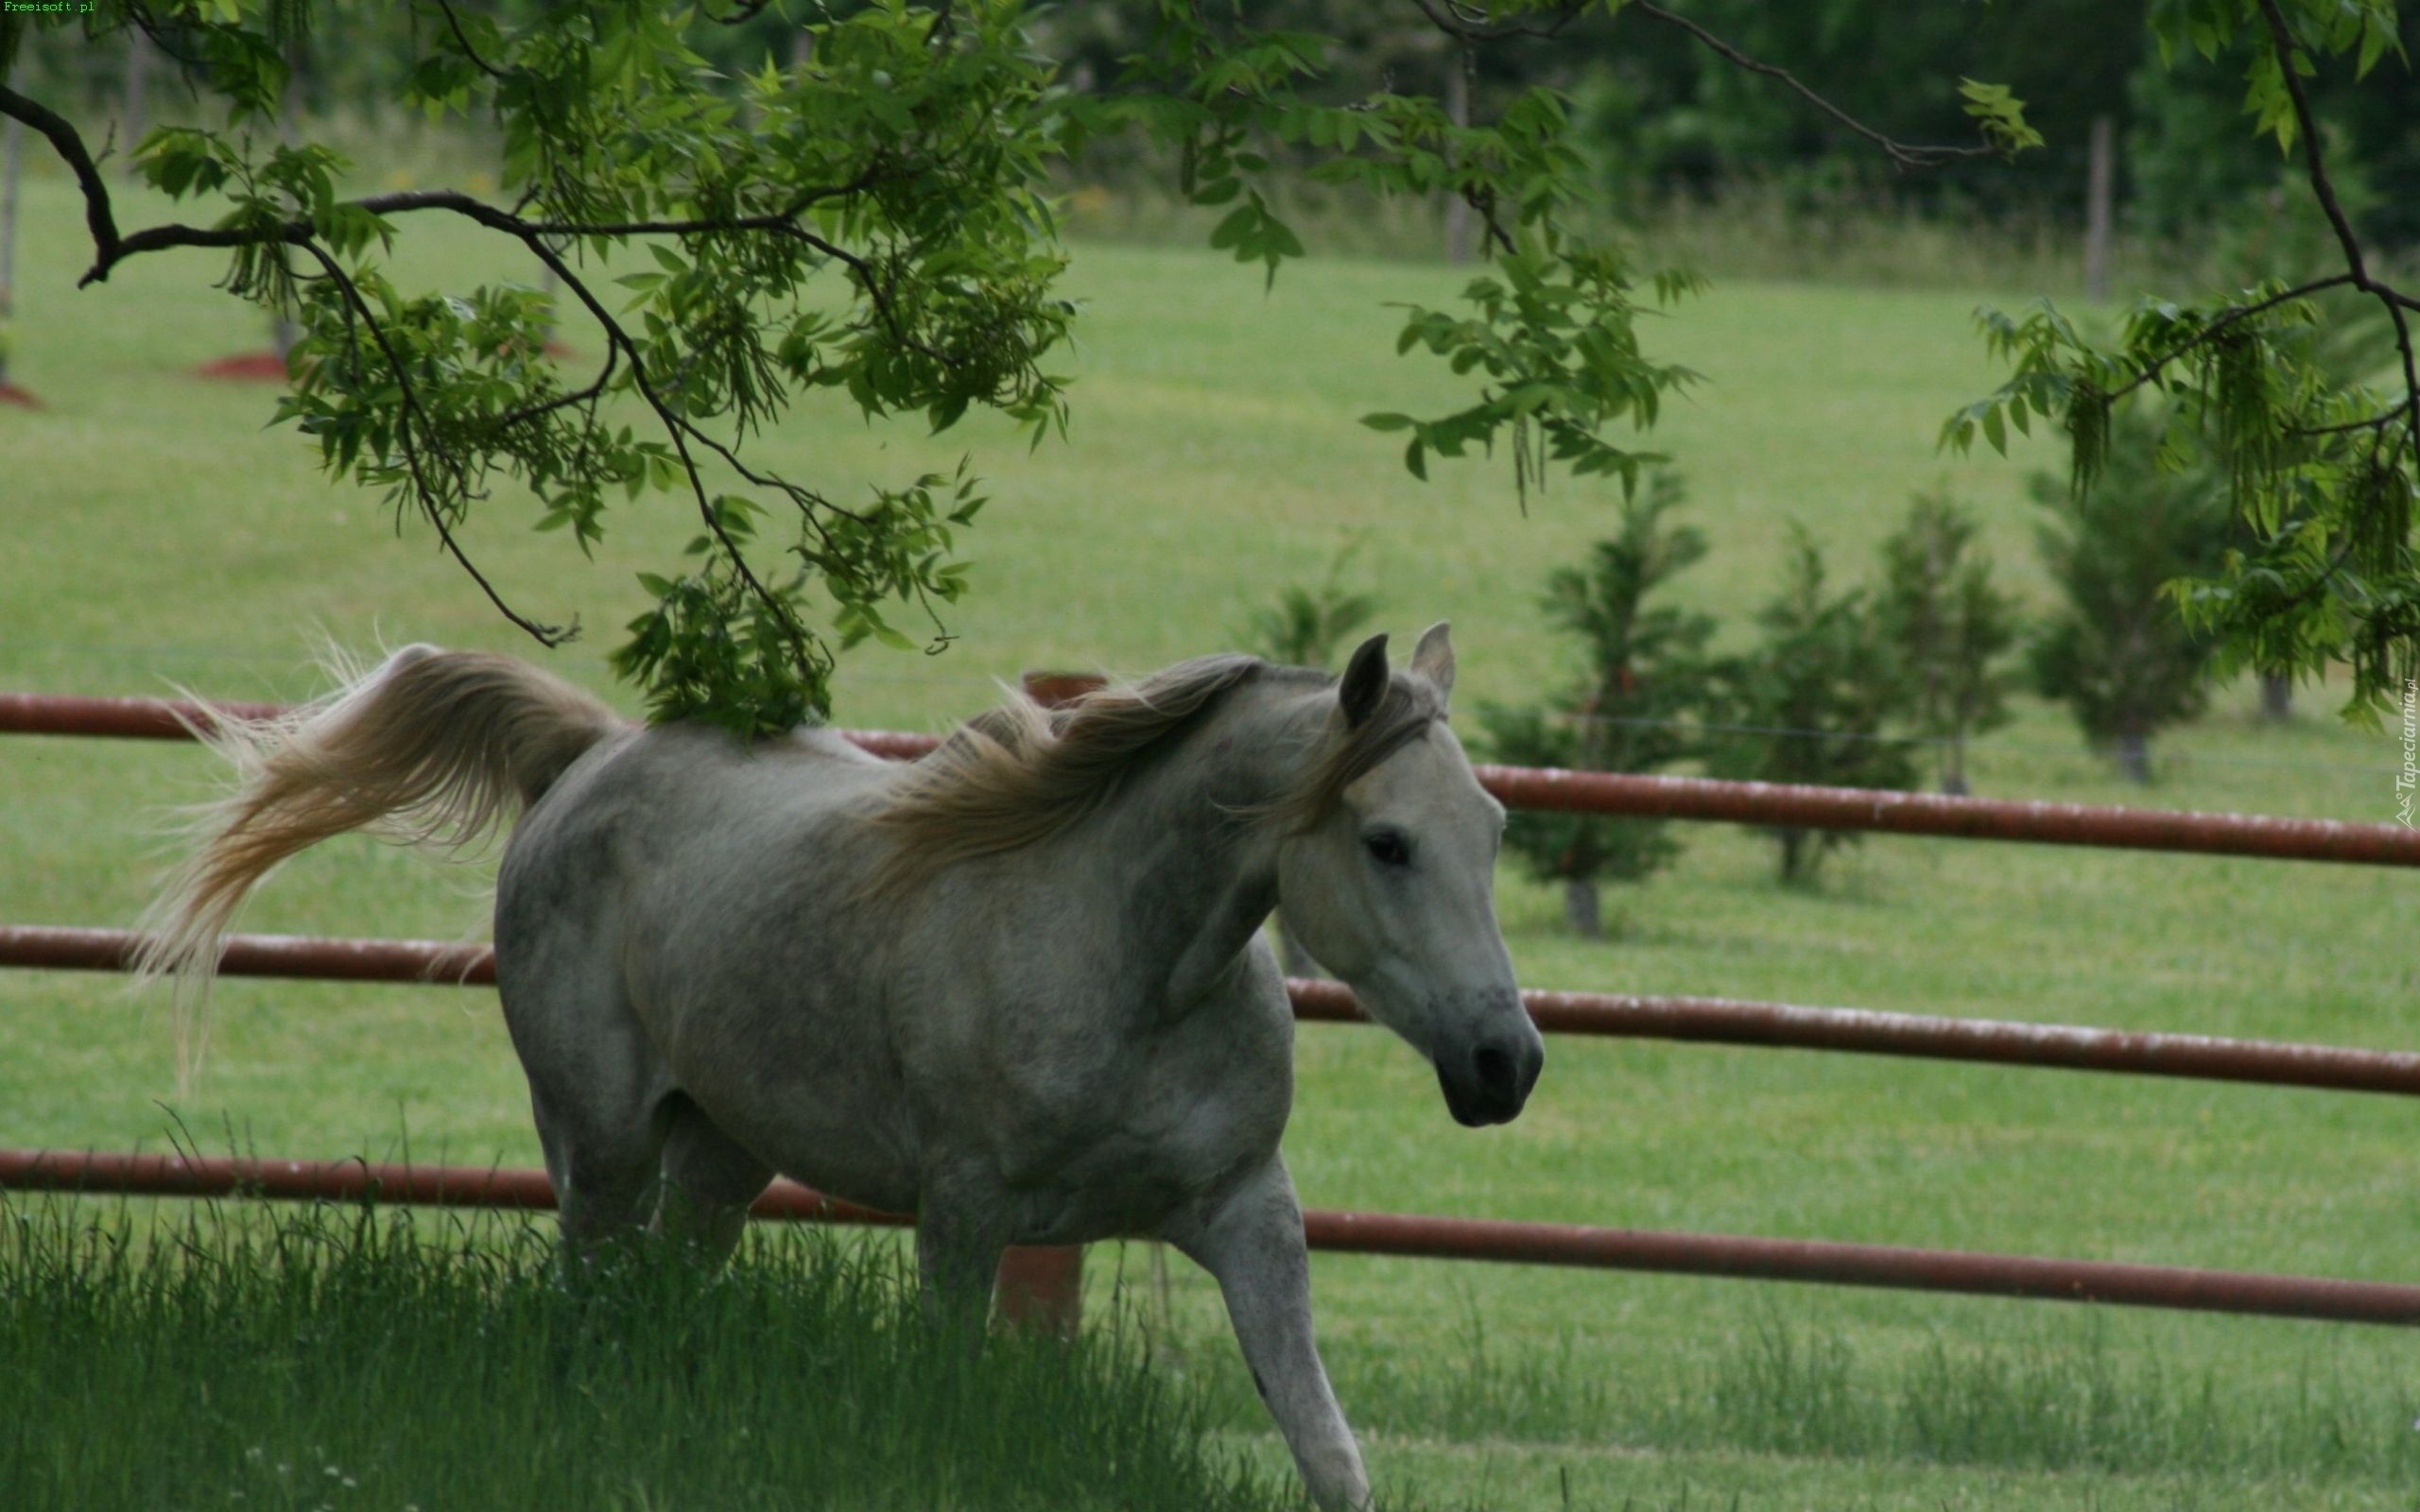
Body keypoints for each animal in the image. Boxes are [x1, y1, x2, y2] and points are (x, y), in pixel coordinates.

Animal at [146, 619, 1548, 1500]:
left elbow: (1328, 1450)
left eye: (1491, 824)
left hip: (719, 1159)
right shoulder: (966, 1214)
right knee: (587, 1310)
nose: (1506, 1064)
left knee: (661, 1303)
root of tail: (592, 751)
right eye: (1384, 841)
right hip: (599, 1145)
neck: (1128, 966)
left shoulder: (1249, 1210)